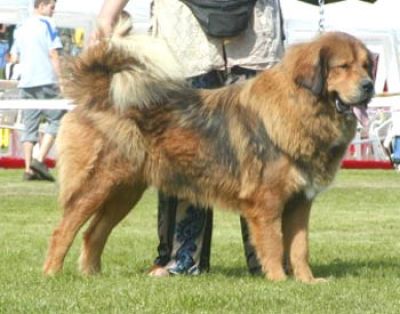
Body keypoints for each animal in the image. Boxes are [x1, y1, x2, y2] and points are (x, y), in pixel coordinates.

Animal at [43, 20, 376, 284]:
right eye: (343, 67)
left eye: (366, 65)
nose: (370, 86)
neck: (301, 107)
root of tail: (101, 89)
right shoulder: (266, 202)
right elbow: (272, 244)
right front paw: (279, 281)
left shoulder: (299, 202)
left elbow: (299, 248)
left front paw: (307, 282)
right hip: (98, 184)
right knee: (63, 231)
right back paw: (52, 276)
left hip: (125, 191)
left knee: (93, 233)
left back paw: (92, 276)